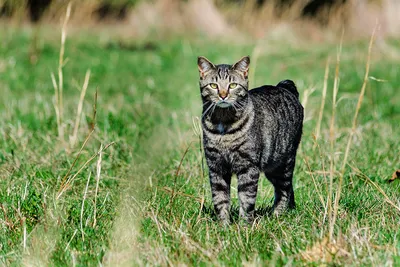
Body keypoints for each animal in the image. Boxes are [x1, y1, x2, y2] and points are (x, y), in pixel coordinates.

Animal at [197, 56, 304, 226]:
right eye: (214, 85)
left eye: (232, 85)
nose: (223, 95)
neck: (223, 125)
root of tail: (284, 86)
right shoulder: (216, 167)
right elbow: (220, 199)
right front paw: (224, 226)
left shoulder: (248, 167)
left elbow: (246, 199)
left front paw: (244, 226)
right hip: (272, 167)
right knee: (288, 188)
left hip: (283, 163)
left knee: (284, 190)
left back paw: (277, 215)